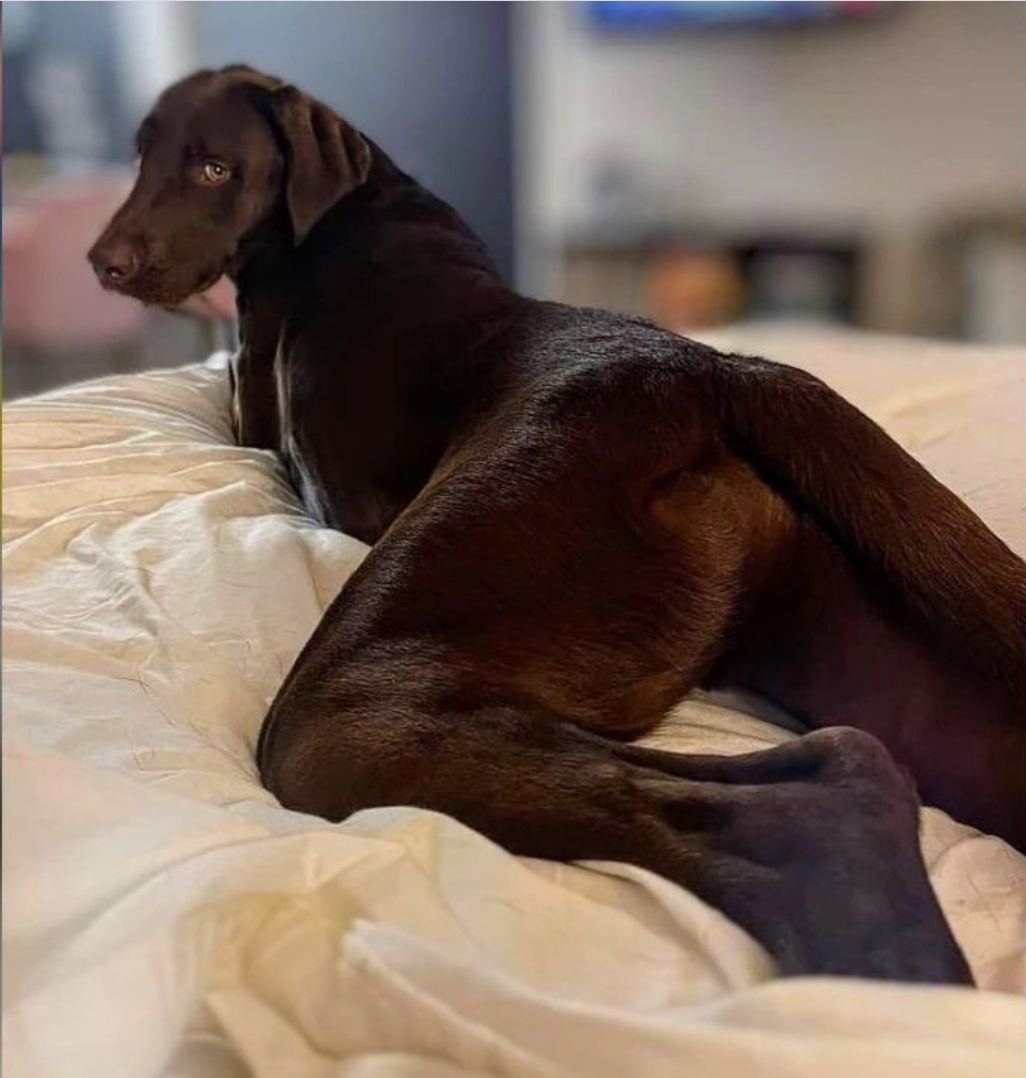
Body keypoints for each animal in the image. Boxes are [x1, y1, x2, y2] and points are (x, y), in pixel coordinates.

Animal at [90, 66, 1025, 985]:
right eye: (142, 158)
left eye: (214, 169)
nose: (103, 264)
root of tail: (711, 370)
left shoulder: (258, 413)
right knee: (851, 757)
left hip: (349, 709)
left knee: (792, 809)